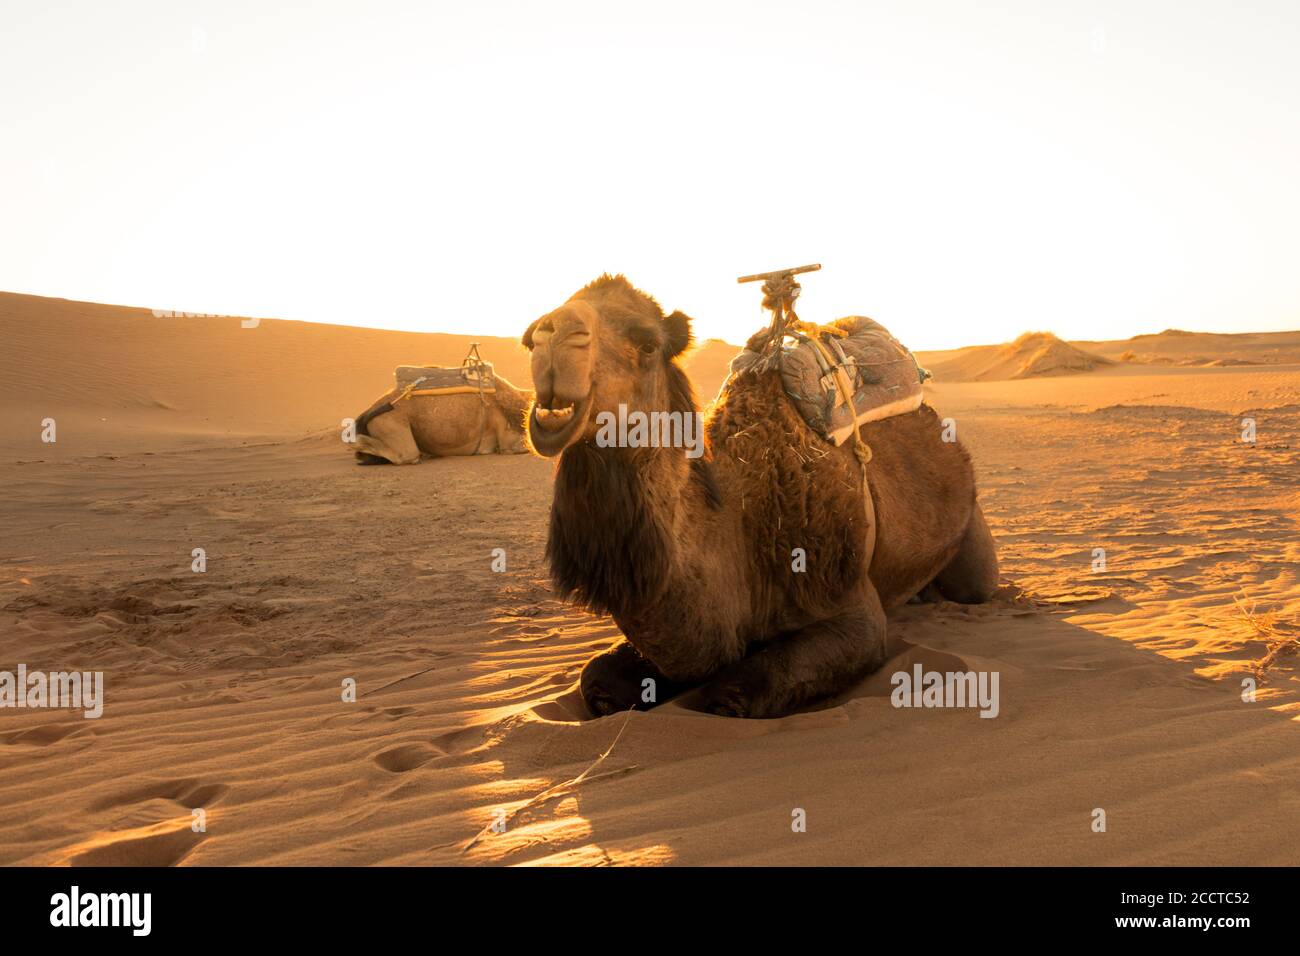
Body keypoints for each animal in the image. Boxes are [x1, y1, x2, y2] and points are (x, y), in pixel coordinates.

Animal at [522, 275, 999, 718]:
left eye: (646, 342)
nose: (549, 334)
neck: (738, 531)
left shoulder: (850, 606)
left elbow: (731, 694)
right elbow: (597, 680)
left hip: (973, 546)